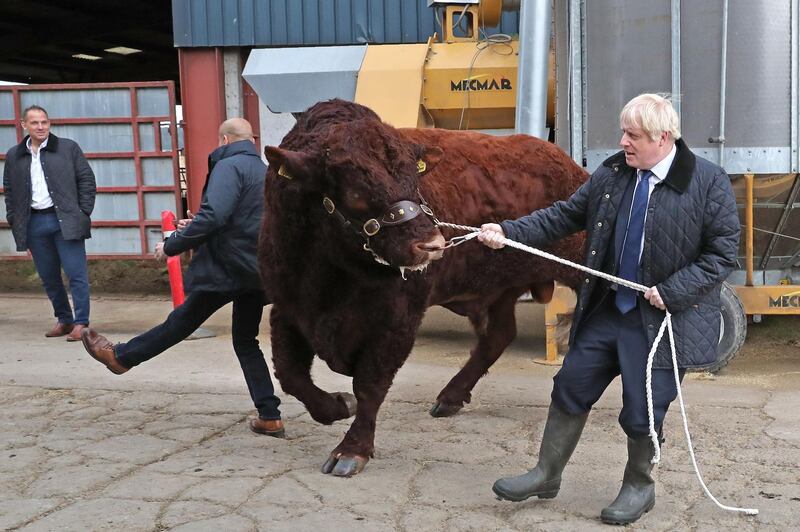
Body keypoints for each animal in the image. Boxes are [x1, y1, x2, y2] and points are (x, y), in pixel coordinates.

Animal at [262, 100, 588, 478]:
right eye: (355, 192)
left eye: (414, 179)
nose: (432, 245)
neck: (330, 276)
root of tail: (567, 164)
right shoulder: (287, 308)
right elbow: (290, 375)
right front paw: (337, 405)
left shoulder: (398, 319)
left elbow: (370, 384)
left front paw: (351, 450)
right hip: (498, 291)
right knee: (498, 336)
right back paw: (449, 397)